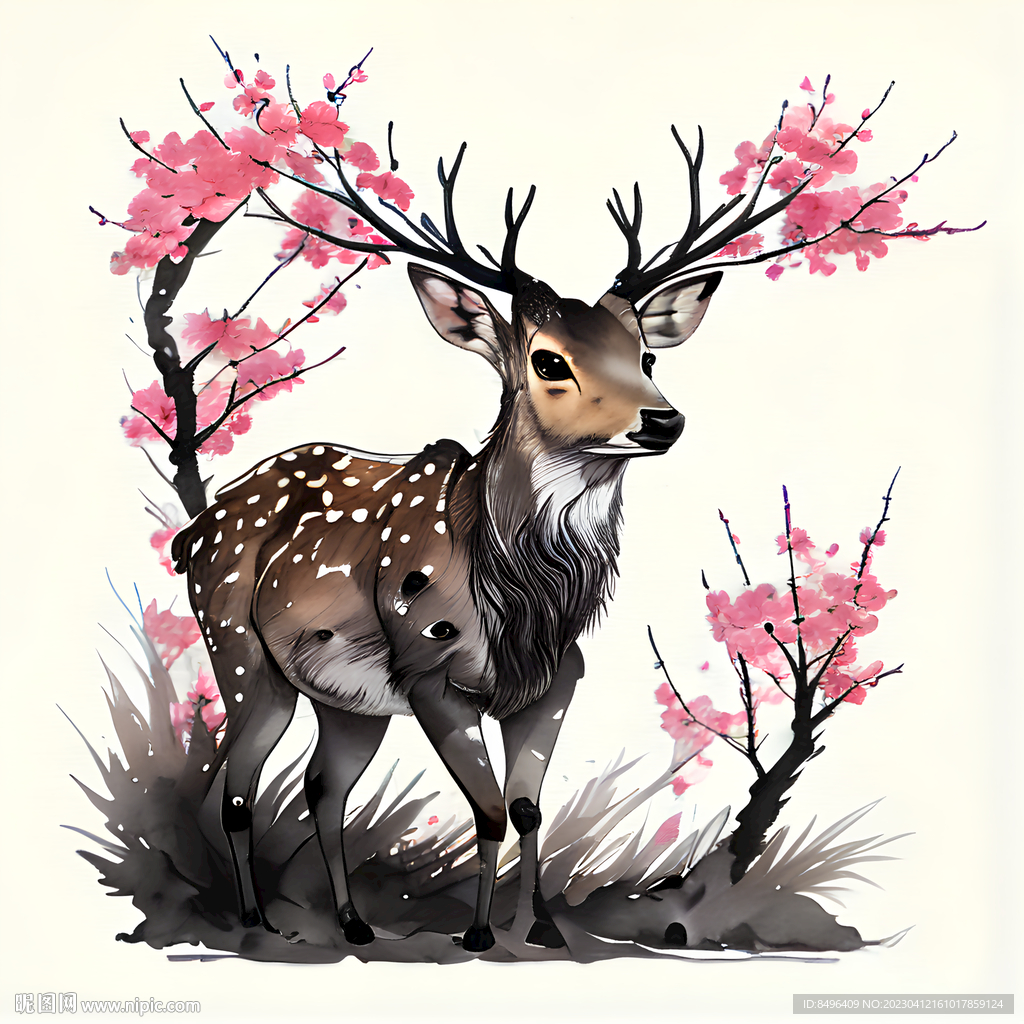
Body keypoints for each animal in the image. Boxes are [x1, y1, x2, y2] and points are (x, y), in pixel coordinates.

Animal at [171, 134, 737, 954]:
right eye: (548, 360)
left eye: (647, 356)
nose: (663, 420)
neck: (522, 600)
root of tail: (192, 533)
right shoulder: (430, 669)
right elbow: (491, 809)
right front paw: (477, 936)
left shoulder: (557, 677)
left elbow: (528, 808)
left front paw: (544, 931)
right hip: (242, 654)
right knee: (237, 787)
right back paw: (255, 922)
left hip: (349, 700)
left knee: (320, 788)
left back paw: (354, 924)